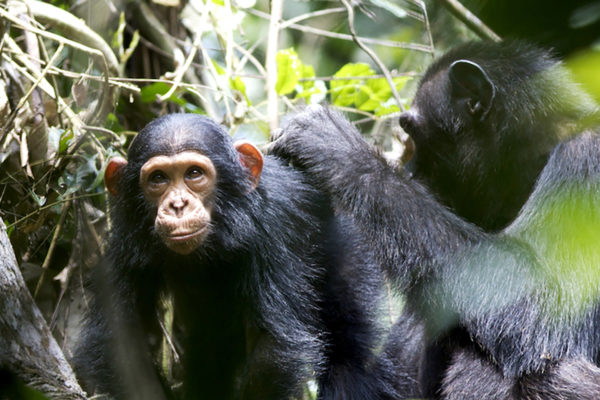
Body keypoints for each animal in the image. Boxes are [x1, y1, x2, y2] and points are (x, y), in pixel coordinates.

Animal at [75, 112, 394, 400]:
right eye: (158, 179)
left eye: (193, 174)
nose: (178, 205)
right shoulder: (127, 243)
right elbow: (122, 347)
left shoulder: (273, 226)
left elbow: (272, 346)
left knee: (348, 351)